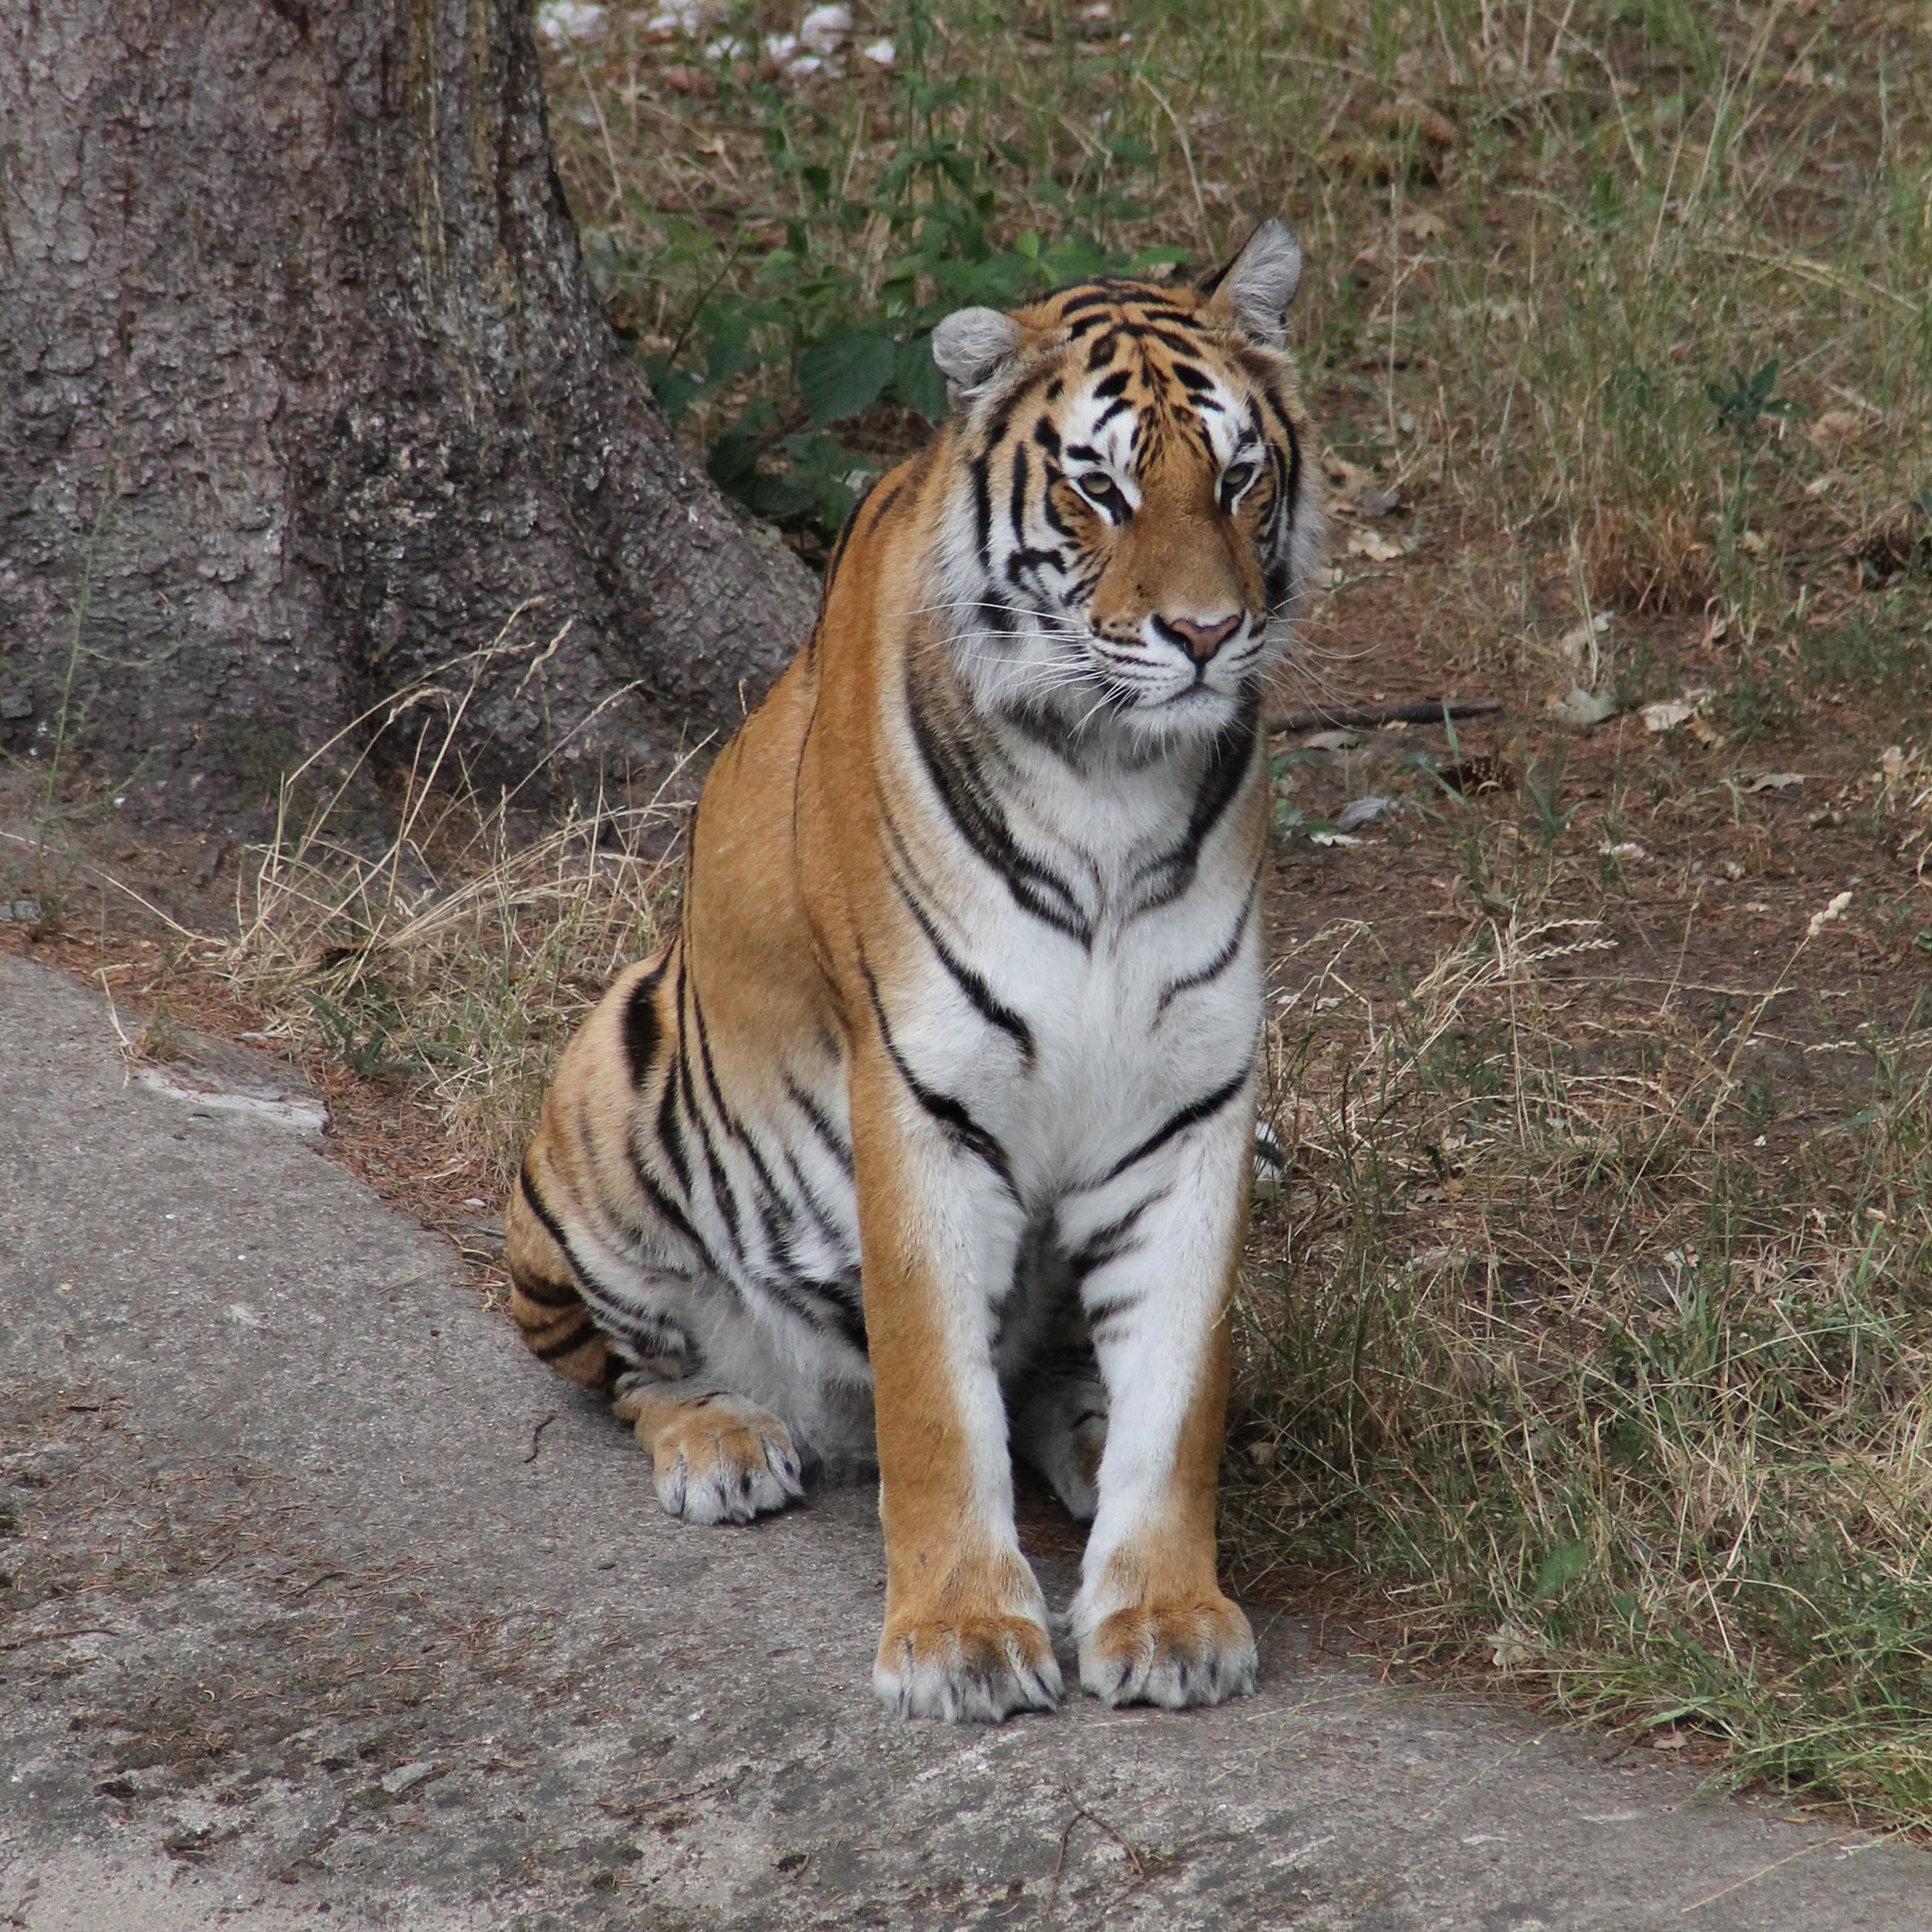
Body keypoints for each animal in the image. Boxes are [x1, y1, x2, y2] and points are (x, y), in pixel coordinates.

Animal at [504, 219, 1321, 1722]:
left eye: (1239, 478)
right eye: (1102, 490)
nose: (1201, 635)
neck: (1111, 774)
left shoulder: (1191, 1102)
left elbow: (1178, 1396)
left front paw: (1166, 1613)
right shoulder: (925, 1092)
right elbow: (940, 1405)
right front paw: (961, 1640)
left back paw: (1078, 1437)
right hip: (608, 1082)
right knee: (629, 1370)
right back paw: (725, 1441)